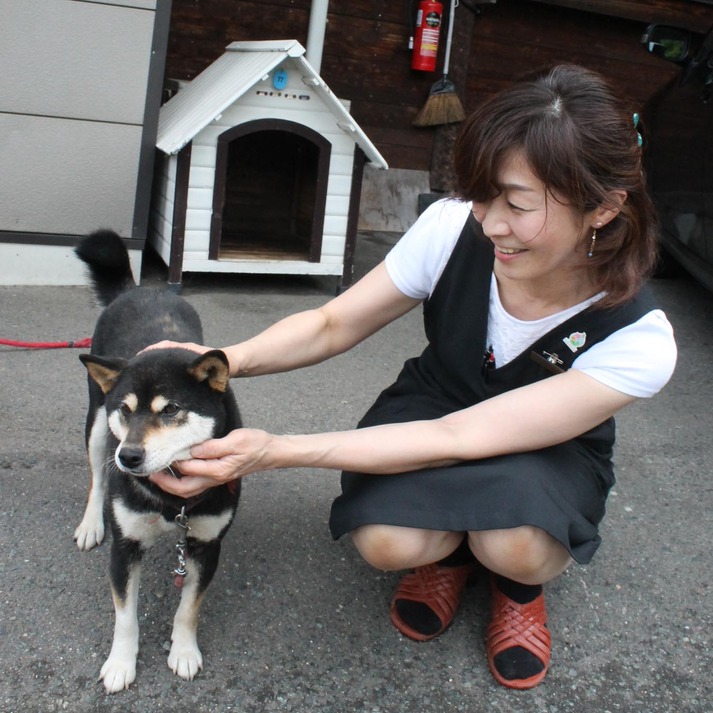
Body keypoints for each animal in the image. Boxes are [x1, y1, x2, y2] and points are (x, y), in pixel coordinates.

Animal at [73, 231, 242, 692]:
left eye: (171, 410)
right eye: (126, 410)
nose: (128, 456)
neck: (172, 504)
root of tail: (136, 289)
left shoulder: (207, 543)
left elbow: (188, 609)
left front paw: (183, 652)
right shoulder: (125, 546)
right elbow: (125, 616)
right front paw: (120, 663)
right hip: (96, 426)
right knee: (97, 479)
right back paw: (91, 523)